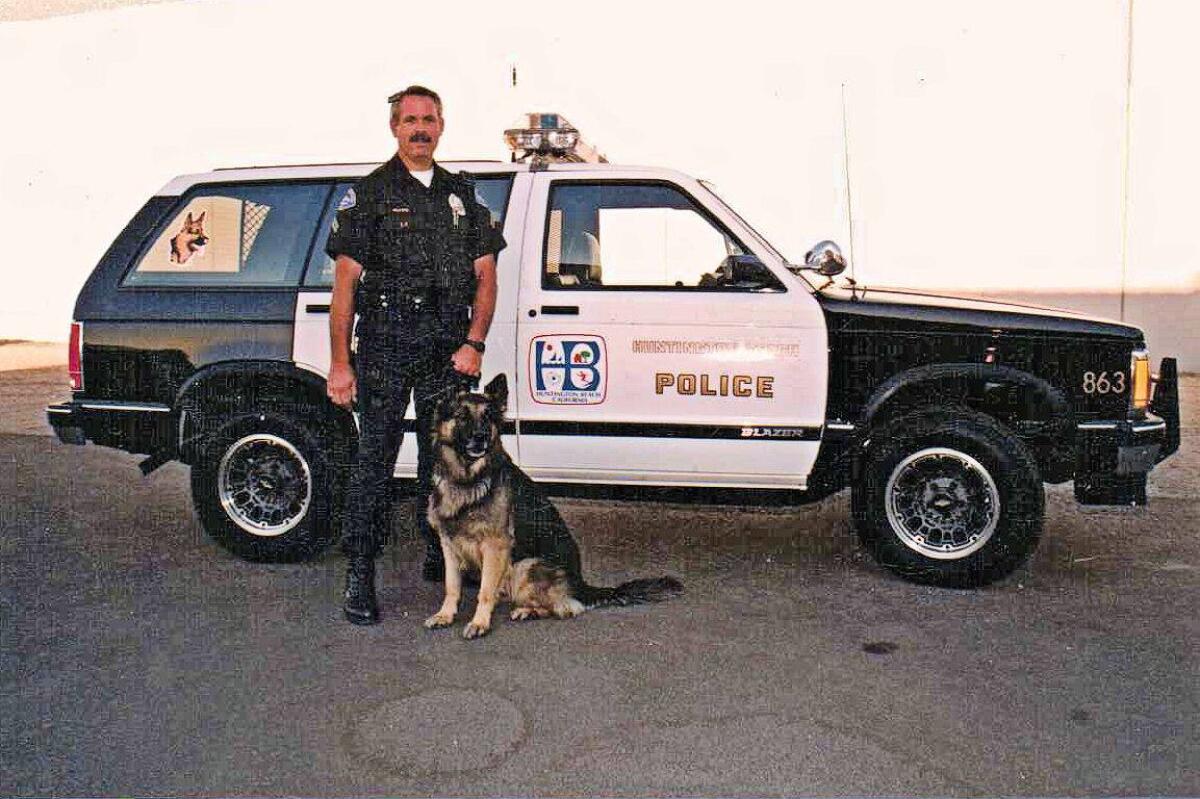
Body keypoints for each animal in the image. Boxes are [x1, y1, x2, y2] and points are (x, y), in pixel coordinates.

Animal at [427, 374, 681, 643]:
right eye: (462, 416)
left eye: (487, 417)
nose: (481, 436)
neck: (466, 479)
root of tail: (581, 585)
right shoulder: (448, 544)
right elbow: (451, 586)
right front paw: (445, 615)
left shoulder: (495, 545)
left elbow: (485, 591)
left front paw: (479, 623)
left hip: (525, 566)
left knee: (566, 608)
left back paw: (527, 610)